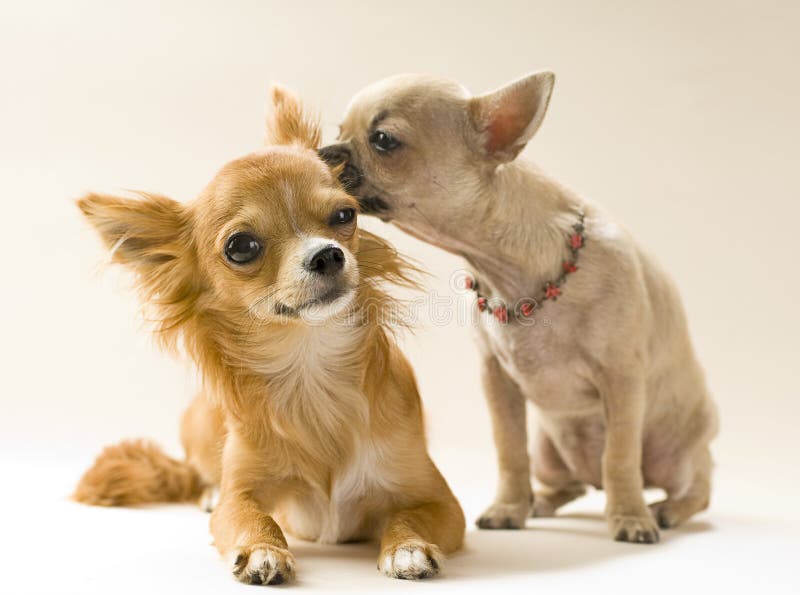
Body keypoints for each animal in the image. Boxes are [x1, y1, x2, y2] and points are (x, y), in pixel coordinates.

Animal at [75, 86, 466, 584]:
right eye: (241, 246)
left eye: (345, 215)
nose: (328, 254)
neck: (309, 366)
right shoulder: (241, 495)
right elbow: (248, 515)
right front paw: (262, 549)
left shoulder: (441, 502)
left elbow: (409, 514)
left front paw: (408, 547)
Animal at [318, 71, 720, 544]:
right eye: (339, 130)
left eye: (383, 140)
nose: (323, 152)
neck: (508, 271)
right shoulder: (497, 381)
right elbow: (509, 451)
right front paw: (510, 507)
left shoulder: (621, 380)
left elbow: (620, 458)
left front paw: (629, 517)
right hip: (549, 452)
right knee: (568, 483)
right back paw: (538, 502)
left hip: (675, 454)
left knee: (696, 489)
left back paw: (665, 510)